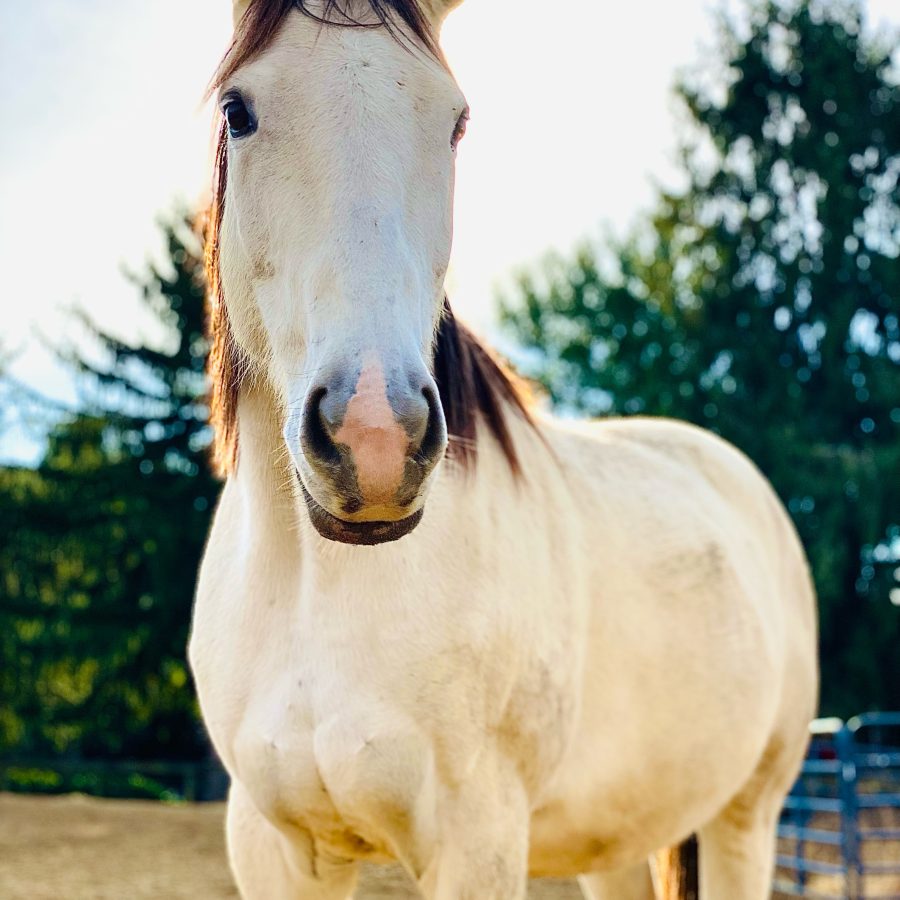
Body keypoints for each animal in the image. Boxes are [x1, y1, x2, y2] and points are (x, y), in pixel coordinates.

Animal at [188, 2, 818, 897]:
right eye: (238, 111)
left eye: (455, 122)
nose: (374, 437)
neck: (320, 592)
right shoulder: (275, 848)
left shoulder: (475, 841)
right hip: (617, 839)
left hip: (745, 817)